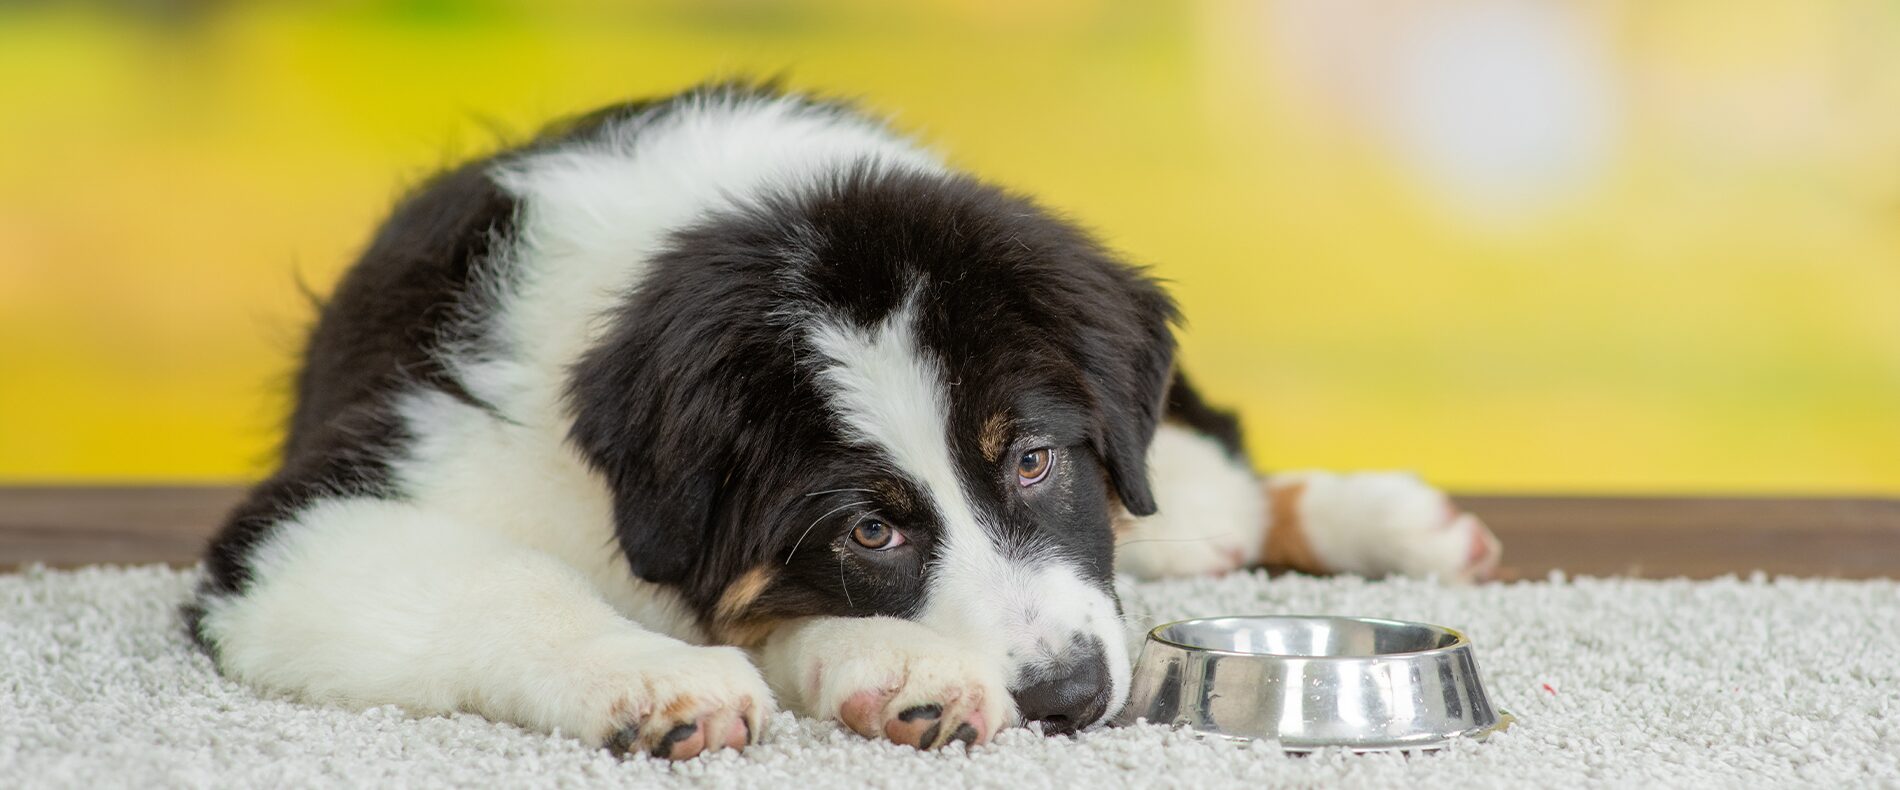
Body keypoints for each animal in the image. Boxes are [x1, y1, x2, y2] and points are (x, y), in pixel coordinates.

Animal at [189, 81, 1497, 759]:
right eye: (869, 529)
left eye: (1033, 460)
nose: (1069, 699)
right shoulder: (311, 525)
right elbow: (511, 582)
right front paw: (661, 678)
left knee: (1214, 477)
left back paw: (1403, 524)